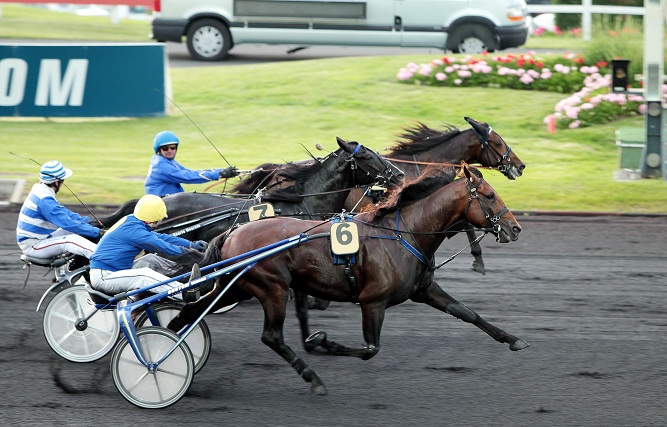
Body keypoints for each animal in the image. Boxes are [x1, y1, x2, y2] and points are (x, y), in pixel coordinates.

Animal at [170, 166, 528, 396]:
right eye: (489, 195)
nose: (515, 228)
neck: (404, 233)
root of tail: (232, 233)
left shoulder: (424, 290)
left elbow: (467, 313)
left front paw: (513, 339)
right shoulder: (373, 302)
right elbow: (370, 349)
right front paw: (322, 342)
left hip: (237, 288)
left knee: (189, 313)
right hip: (272, 288)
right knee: (271, 336)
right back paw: (313, 378)